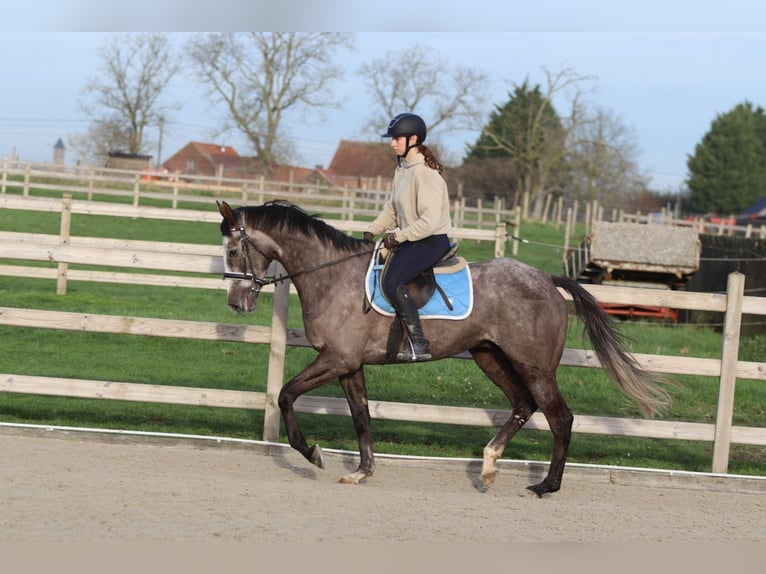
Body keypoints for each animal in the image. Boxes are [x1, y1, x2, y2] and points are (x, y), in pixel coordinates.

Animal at [217, 199, 670, 497]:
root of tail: (546, 279)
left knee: (560, 418)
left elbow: (286, 394)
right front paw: (362, 471)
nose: (236, 303)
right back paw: (488, 466)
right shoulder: (349, 365)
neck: (331, 277)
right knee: (523, 405)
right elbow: (361, 416)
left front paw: (312, 454)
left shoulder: (335, 359)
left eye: (234, 249)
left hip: (534, 365)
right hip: (490, 356)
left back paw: (547, 485)